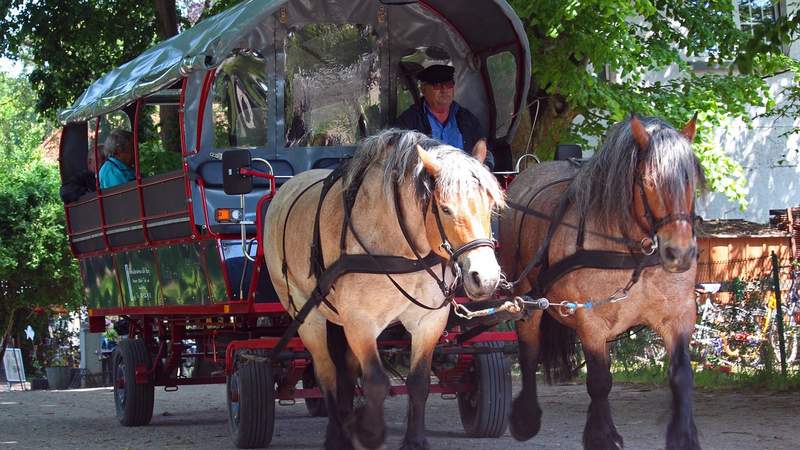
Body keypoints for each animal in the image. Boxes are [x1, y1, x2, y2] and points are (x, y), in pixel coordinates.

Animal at [264, 128, 506, 448]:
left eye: (490, 206)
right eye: (445, 208)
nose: (485, 277)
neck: (402, 247)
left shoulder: (428, 321)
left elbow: (418, 383)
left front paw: (414, 440)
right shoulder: (361, 322)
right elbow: (376, 383)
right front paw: (370, 434)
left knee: (344, 371)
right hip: (306, 315)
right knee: (326, 372)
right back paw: (339, 434)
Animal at [500, 113, 708, 450]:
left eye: (690, 180)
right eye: (648, 182)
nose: (679, 253)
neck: (634, 253)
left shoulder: (678, 315)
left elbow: (681, 376)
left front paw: (683, 437)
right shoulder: (591, 321)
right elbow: (599, 380)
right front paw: (603, 436)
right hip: (525, 300)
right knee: (529, 351)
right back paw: (526, 417)